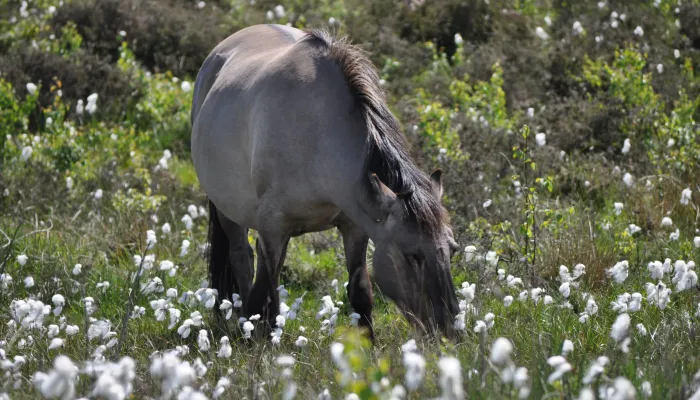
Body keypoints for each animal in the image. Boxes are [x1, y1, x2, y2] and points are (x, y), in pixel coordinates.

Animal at [190, 24, 460, 339]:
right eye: (412, 255)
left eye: (452, 250)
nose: (451, 331)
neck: (317, 136)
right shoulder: (272, 230)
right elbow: (262, 294)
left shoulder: (354, 227)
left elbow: (360, 291)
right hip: (228, 210)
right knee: (242, 259)